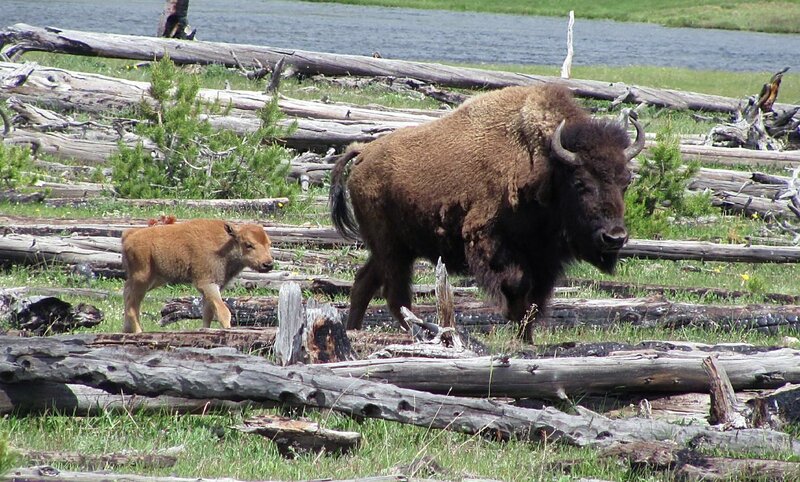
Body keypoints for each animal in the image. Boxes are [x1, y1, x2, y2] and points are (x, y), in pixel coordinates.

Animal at [121, 219, 274, 333]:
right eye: (248, 244)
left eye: (269, 244)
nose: (268, 264)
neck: (225, 245)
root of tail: (130, 235)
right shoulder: (207, 284)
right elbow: (223, 312)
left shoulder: (212, 288)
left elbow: (208, 313)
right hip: (142, 279)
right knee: (132, 305)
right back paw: (138, 332)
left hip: (153, 279)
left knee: (127, 294)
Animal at [329, 84, 644, 341]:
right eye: (581, 183)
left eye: (626, 181)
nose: (614, 237)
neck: (544, 164)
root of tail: (362, 153)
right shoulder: (489, 240)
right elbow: (517, 284)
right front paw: (513, 321)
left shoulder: (544, 258)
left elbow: (535, 300)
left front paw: (526, 338)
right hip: (392, 250)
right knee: (395, 296)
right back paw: (419, 332)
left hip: (394, 248)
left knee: (365, 283)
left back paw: (354, 330)